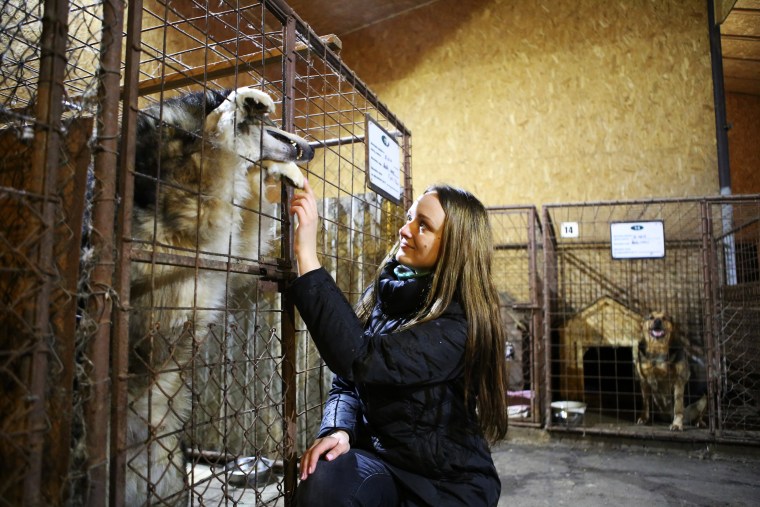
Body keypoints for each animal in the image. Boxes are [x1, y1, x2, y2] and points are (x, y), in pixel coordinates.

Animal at [126, 85, 314, 506]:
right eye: (272, 123)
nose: (310, 150)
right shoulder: (195, 196)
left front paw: (272, 172)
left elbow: (250, 206)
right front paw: (242, 102)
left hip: (165, 478)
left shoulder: (232, 254)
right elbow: (217, 139)